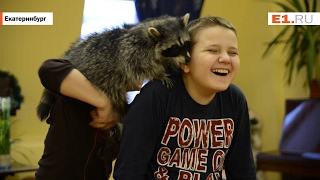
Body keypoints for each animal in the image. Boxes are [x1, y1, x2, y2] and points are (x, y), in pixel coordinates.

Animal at [36, 13, 191, 121]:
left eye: (186, 43)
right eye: (174, 47)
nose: (188, 59)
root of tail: (71, 57)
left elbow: (165, 62)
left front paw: (173, 68)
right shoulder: (133, 51)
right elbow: (138, 68)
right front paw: (158, 75)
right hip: (104, 76)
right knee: (114, 89)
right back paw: (123, 107)